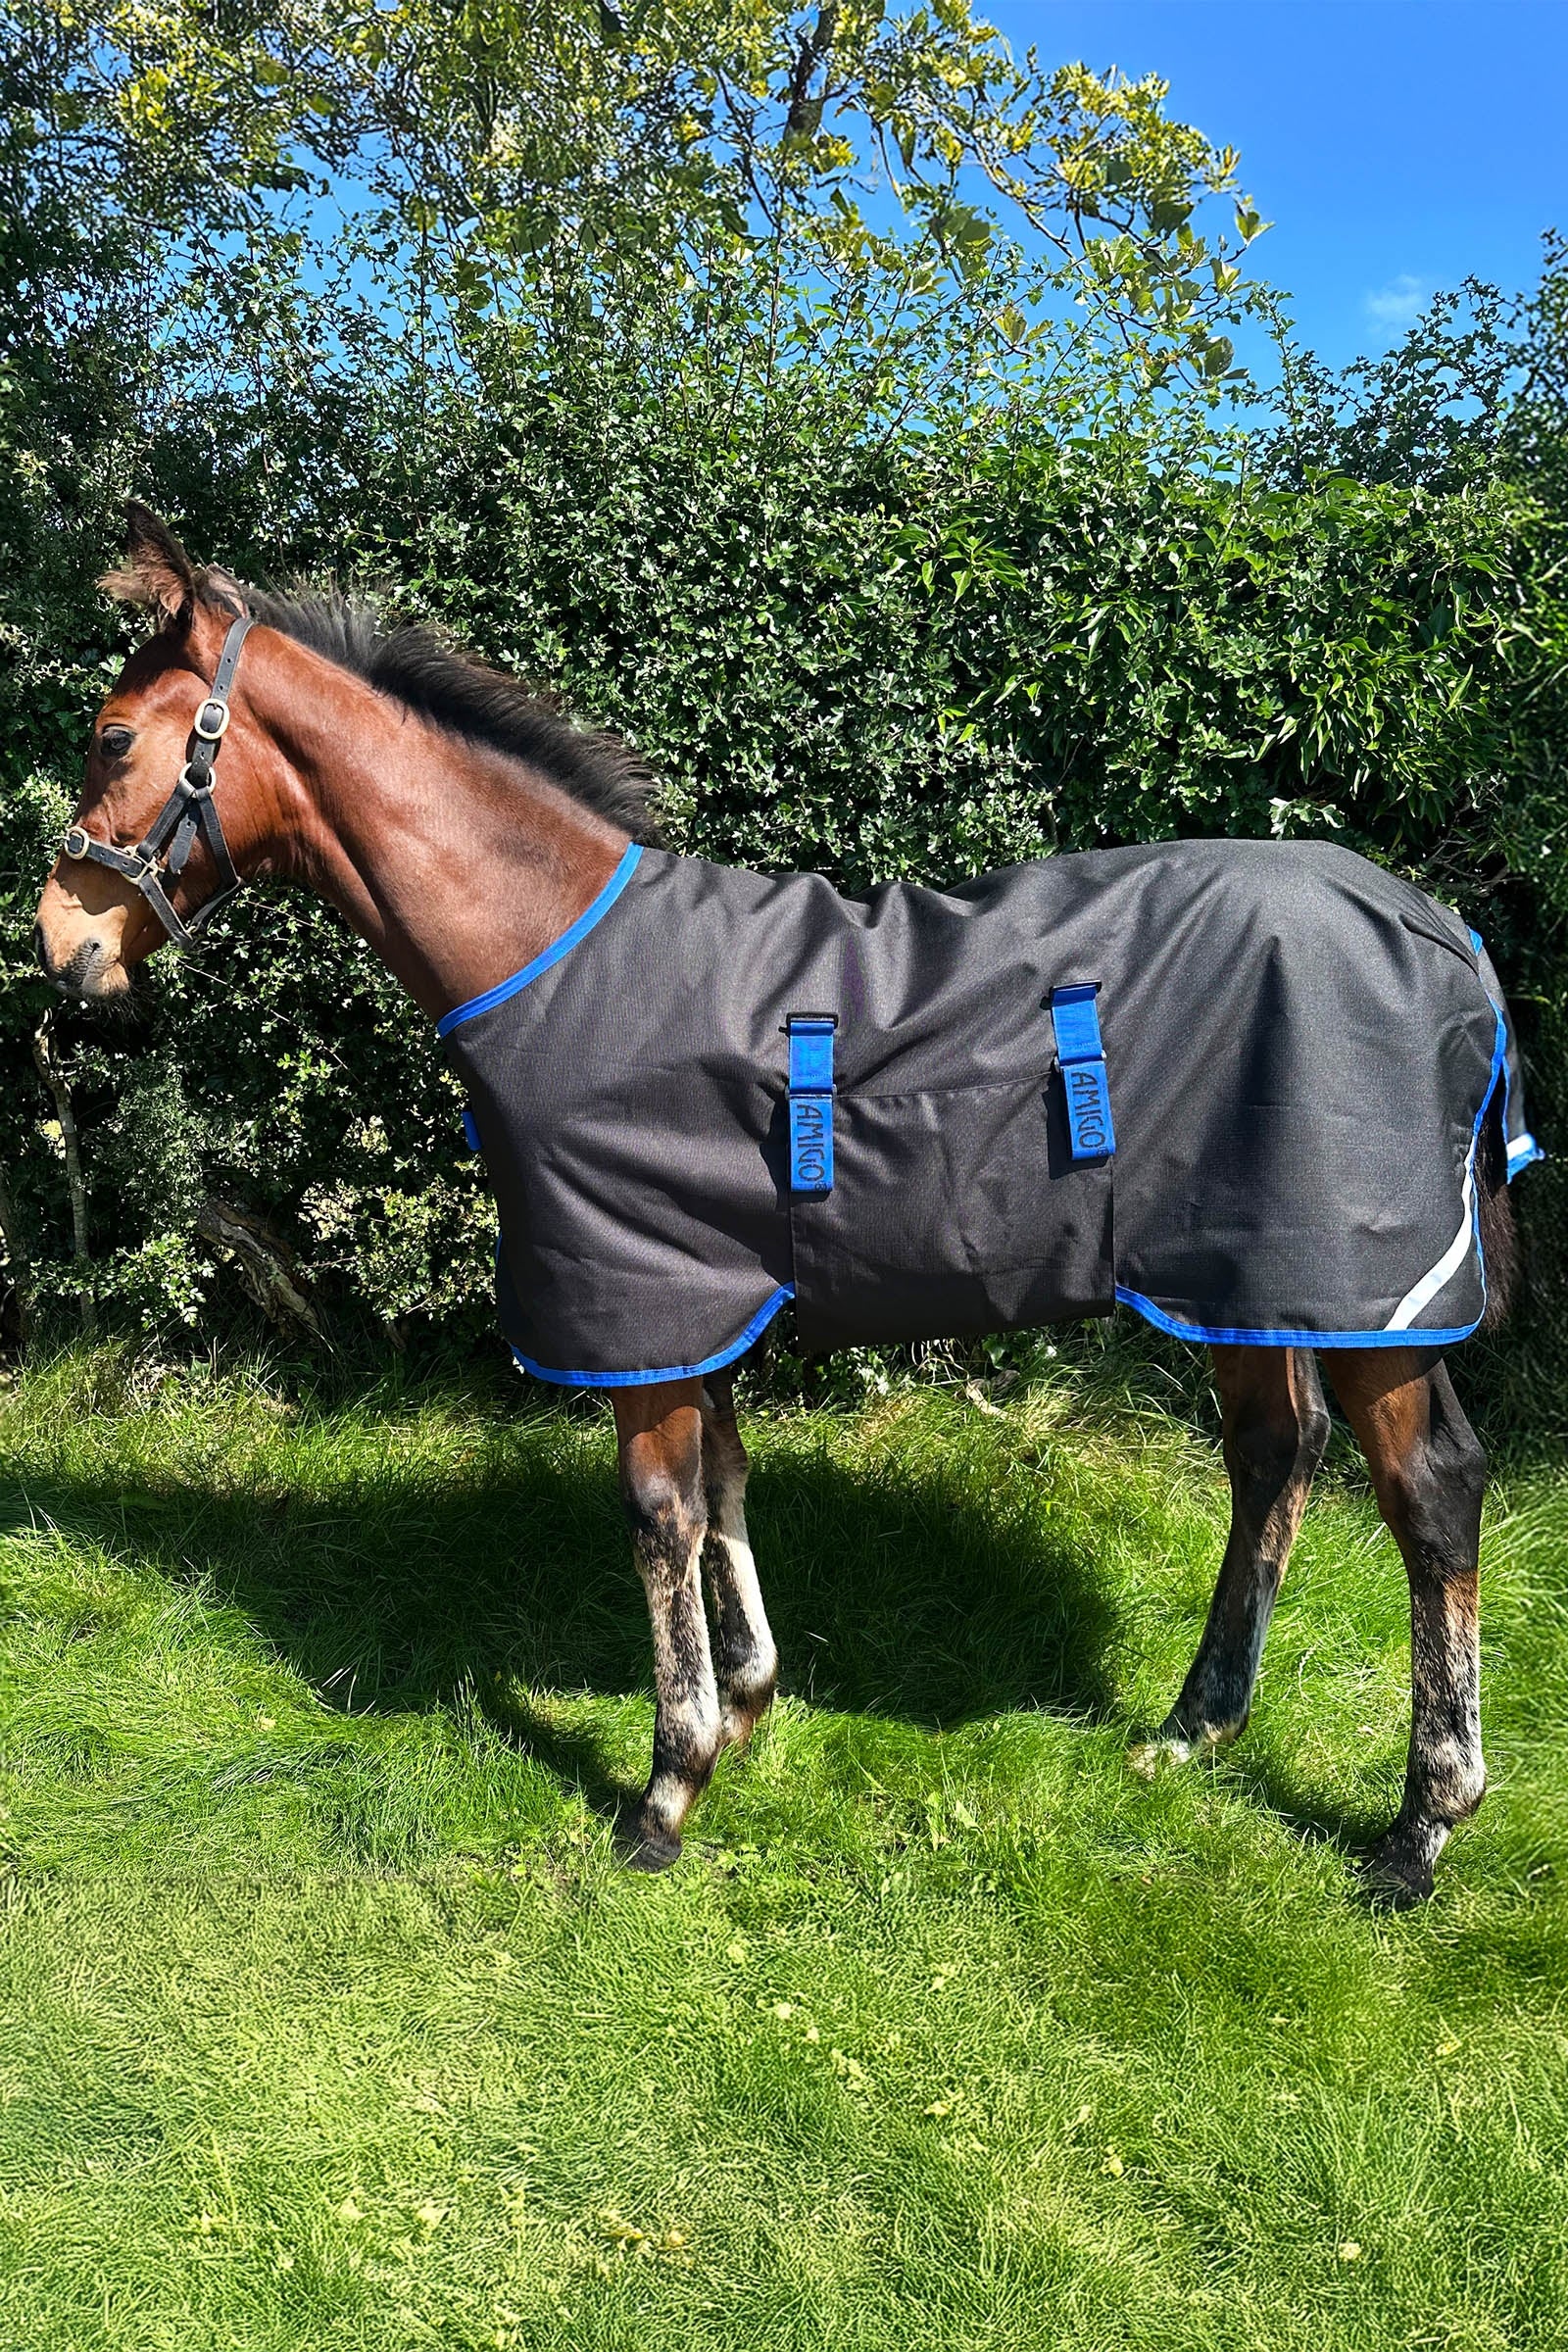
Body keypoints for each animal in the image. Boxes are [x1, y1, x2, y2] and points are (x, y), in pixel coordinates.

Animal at [34, 503, 1537, 1905]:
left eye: (111, 738)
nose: (61, 945)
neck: (557, 954)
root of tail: (1442, 928)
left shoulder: (640, 1303)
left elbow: (660, 1514)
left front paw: (667, 1785)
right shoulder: (696, 1294)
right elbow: (725, 1479)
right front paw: (750, 1703)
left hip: (1366, 1294)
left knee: (1429, 1495)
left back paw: (1420, 1827)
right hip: (1248, 1279)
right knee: (1275, 1458)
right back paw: (1193, 1729)